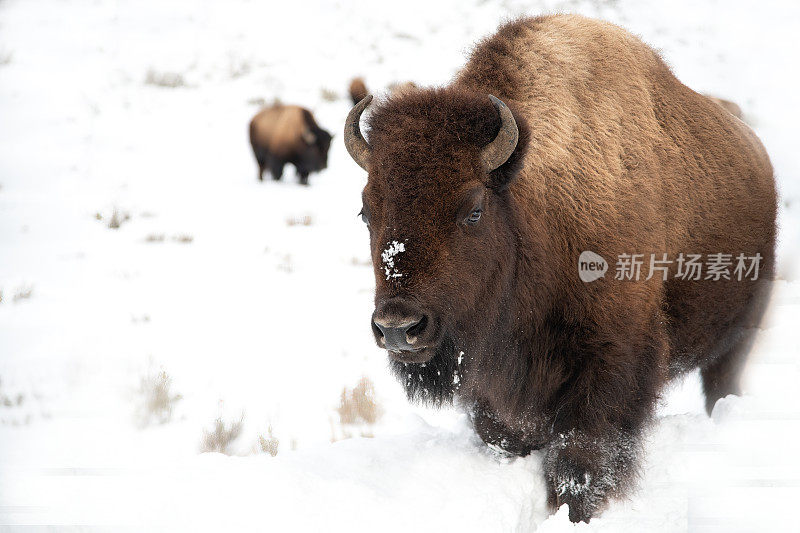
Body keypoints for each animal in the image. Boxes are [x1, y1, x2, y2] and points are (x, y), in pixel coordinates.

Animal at [342, 14, 776, 520]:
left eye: (473, 210)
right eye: (366, 212)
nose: (398, 327)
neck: (536, 208)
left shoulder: (611, 360)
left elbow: (580, 459)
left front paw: (574, 512)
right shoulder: (492, 384)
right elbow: (505, 434)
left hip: (738, 336)